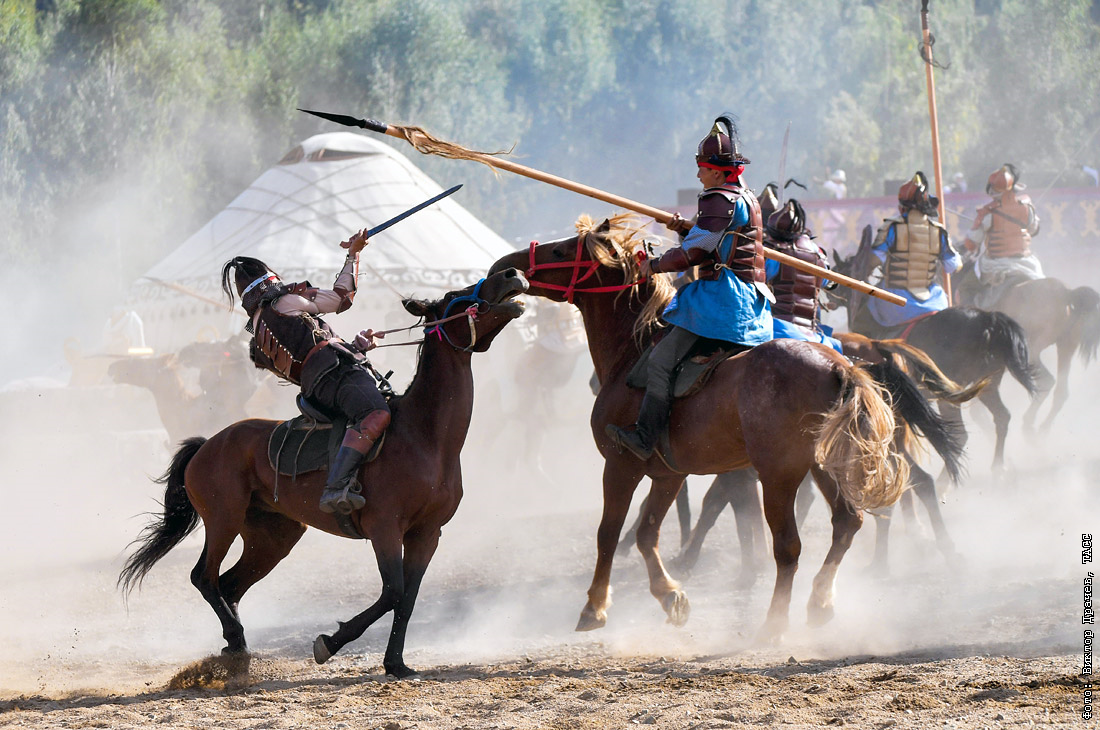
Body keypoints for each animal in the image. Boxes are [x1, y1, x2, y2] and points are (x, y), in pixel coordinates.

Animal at [118, 269, 530, 677]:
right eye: (455, 294)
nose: (512, 273)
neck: (424, 435)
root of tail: (207, 445)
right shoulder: (385, 528)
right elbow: (393, 592)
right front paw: (330, 643)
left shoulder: (427, 534)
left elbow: (408, 599)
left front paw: (396, 663)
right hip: (223, 519)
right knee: (204, 577)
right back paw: (235, 640)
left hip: (274, 535)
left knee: (229, 585)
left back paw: (236, 648)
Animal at [486, 212, 959, 637]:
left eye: (562, 251)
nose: (505, 266)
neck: (633, 350)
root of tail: (843, 366)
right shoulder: (668, 474)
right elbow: (647, 533)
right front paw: (670, 595)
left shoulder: (621, 465)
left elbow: (609, 533)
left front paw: (595, 607)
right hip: (825, 466)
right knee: (848, 522)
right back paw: (821, 601)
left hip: (780, 474)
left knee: (789, 545)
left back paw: (774, 623)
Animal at [831, 234, 1038, 472]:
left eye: (837, 270)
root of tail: (988, 319)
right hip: (988, 385)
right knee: (1002, 417)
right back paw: (997, 468)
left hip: (950, 396)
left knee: (961, 435)